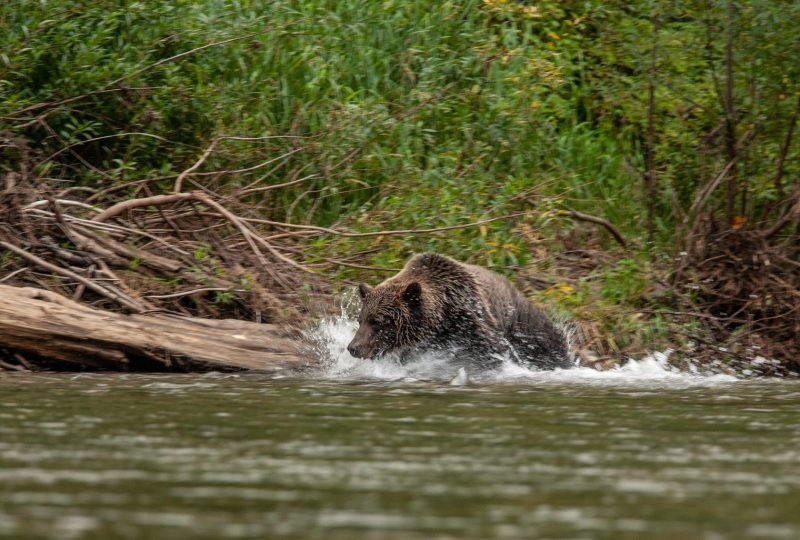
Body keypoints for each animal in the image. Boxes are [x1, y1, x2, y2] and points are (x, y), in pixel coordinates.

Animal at [346, 253, 572, 372]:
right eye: (360, 320)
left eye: (378, 321)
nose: (353, 347)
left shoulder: (472, 319)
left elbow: (491, 352)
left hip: (524, 324)